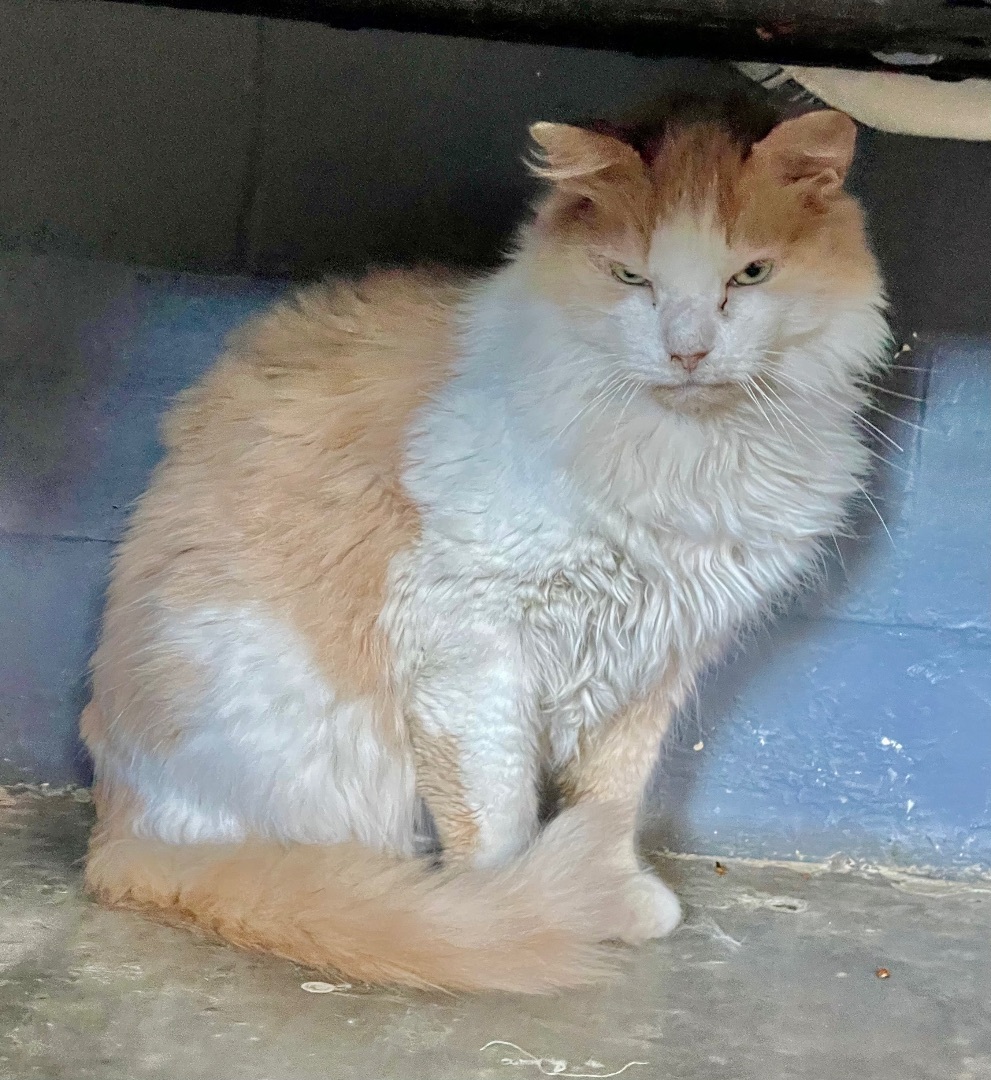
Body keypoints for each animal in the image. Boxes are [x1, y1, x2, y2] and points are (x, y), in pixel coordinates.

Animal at [81, 105, 893, 989]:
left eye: (748, 275)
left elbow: (611, 800)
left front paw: (602, 891)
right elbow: (497, 816)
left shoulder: (653, 658)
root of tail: (112, 833)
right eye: (629, 279)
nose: (686, 352)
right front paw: (519, 913)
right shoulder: (468, 645)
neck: (681, 456)